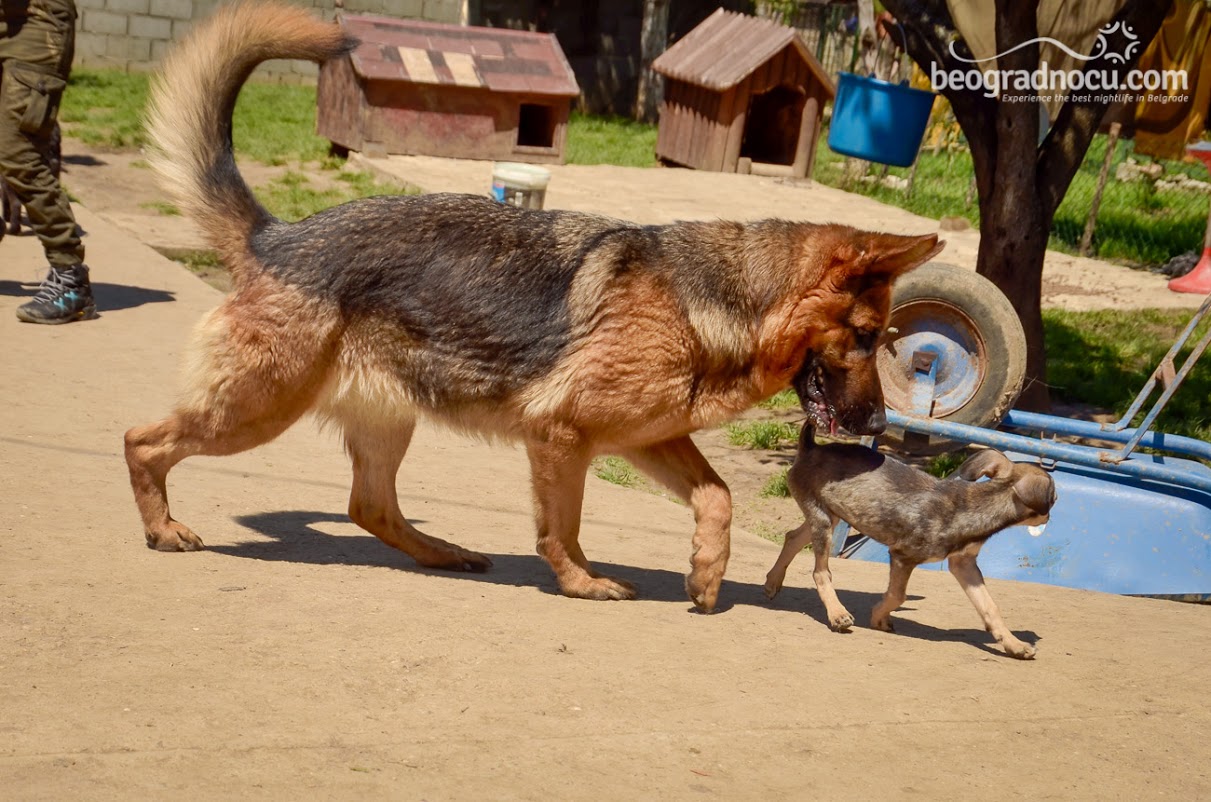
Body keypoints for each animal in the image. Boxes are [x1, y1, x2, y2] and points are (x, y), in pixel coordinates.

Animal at [122, 1, 939, 615]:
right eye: (866, 336)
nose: (878, 430)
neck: (720, 297)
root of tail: (276, 235)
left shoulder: (646, 440)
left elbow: (717, 497)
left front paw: (706, 574)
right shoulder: (561, 439)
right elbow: (561, 529)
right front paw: (580, 583)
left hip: (383, 419)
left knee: (370, 506)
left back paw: (443, 553)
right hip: (255, 408)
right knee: (142, 439)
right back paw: (162, 529)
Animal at [770, 426, 1055, 659]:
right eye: (1054, 498)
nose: (1051, 516)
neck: (975, 506)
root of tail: (811, 447)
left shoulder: (963, 564)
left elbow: (989, 607)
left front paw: (1013, 645)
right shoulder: (902, 556)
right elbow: (898, 595)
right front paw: (878, 617)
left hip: (831, 516)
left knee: (792, 537)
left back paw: (773, 582)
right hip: (823, 522)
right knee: (821, 572)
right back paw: (837, 614)